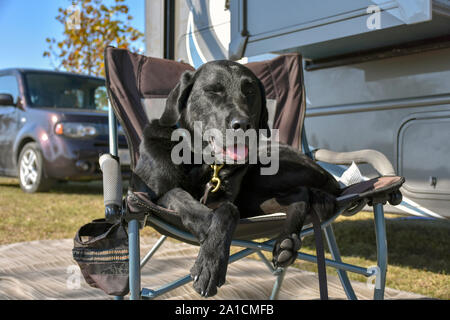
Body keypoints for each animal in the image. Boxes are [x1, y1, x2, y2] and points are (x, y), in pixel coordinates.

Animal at [134, 60, 342, 298]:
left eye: (250, 92)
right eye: (213, 90)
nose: (242, 124)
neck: (203, 162)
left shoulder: (225, 201)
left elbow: (228, 211)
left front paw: (210, 265)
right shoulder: (153, 193)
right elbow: (179, 195)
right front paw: (206, 224)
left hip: (262, 176)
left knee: (301, 194)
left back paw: (286, 243)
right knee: (299, 194)